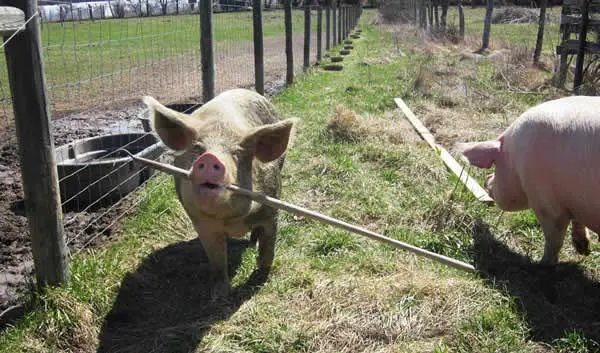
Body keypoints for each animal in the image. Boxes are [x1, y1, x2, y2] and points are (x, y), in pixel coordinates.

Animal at [143, 88, 298, 296]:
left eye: (238, 153)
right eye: (198, 149)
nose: (209, 158)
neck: (230, 221)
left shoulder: (271, 211)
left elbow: (268, 250)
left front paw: (261, 277)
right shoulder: (202, 224)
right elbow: (217, 261)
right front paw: (219, 293)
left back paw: (252, 242)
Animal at [458, 95, 600, 266]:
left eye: (495, 166)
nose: (487, 179)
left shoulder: (545, 201)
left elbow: (554, 238)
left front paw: (541, 264)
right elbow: (577, 222)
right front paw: (584, 250)